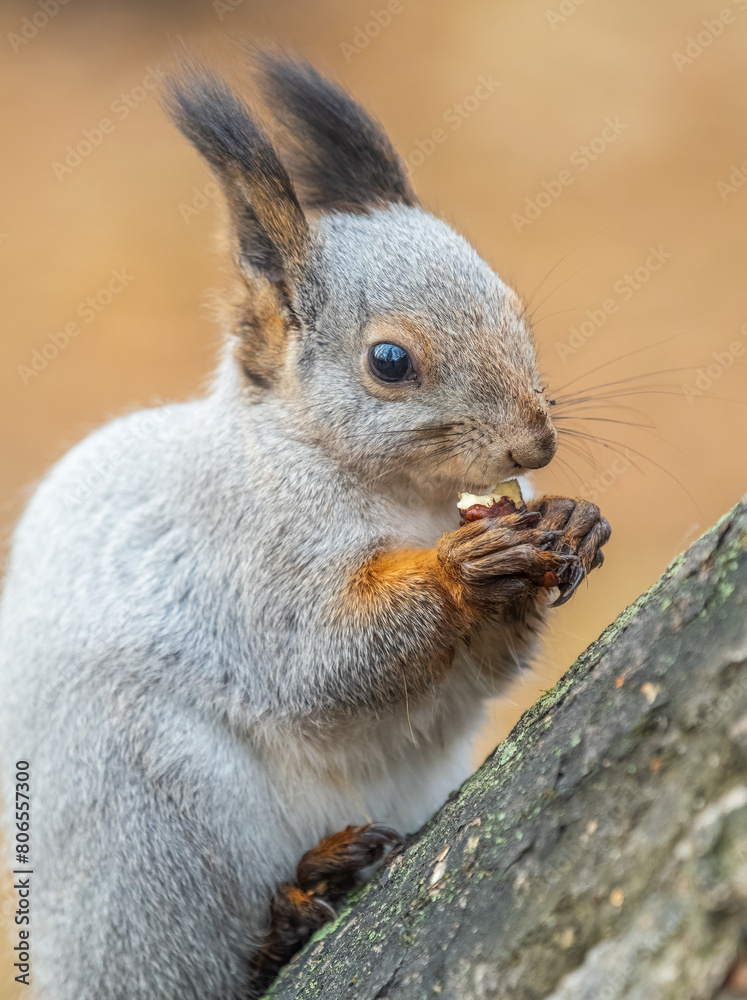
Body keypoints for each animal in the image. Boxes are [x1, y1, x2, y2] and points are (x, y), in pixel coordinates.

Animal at [0, 55, 610, 999]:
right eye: (389, 362)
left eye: (514, 311)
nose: (533, 443)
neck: (399, 495)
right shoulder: (247, 560)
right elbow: (322, 662)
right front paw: (461, 566)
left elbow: (478, 671)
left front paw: (570, 523)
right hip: (156, 823)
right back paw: (296, 900)